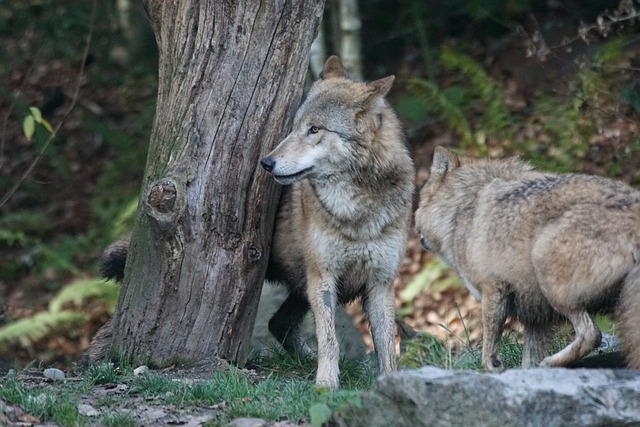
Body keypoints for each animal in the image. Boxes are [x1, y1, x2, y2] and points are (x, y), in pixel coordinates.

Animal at [260, 55, 416, 390]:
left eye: (314, 129)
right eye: (294, 128)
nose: (266, 162)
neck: (358, 212)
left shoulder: (381, 282)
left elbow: (387, 344)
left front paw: (390, 384)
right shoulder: (323, 278)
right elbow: (329, 338)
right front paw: (326, 386)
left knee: (277, 323)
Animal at [412, 147, 640, 372]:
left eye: (422, 197)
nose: (415, 227)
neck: (463, 207)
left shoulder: (493, 290)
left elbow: (489, 348)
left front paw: (493, 367)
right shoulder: (536, 319)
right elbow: (527, 362)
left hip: (549, 275)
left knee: (591, 335)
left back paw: (550, 363)